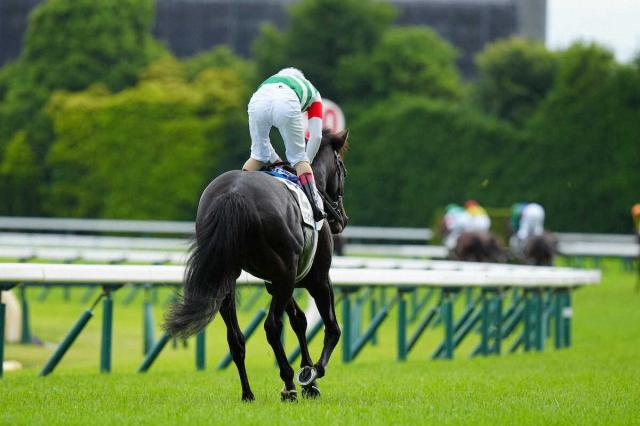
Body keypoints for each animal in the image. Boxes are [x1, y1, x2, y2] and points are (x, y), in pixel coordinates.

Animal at [162, 130, 348, 402]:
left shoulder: (276, 282)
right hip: (286, 275)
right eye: (342, 168)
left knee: (235, 337)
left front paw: (308, 379)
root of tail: (233, 195)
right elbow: (331, 328)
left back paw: (248, 392)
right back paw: (289, 384)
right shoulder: (315, 278)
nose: (341, 220)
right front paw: (312, 374)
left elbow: (299, 321)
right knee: (271, 326)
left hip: (226, 275)